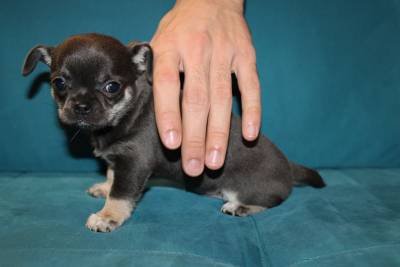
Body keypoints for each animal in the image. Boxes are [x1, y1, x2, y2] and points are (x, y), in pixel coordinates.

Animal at [22, 33, 324, 233]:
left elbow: (121, 193)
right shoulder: (118, 161)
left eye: (112, 87)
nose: (81, 106)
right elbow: (111, 175)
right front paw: (104, 187)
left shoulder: (133, 163)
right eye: (59, 83)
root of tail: (288, 166)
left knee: (272, 201)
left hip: (249, 188)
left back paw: (240, 208)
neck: (125, 115)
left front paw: (107, 216)